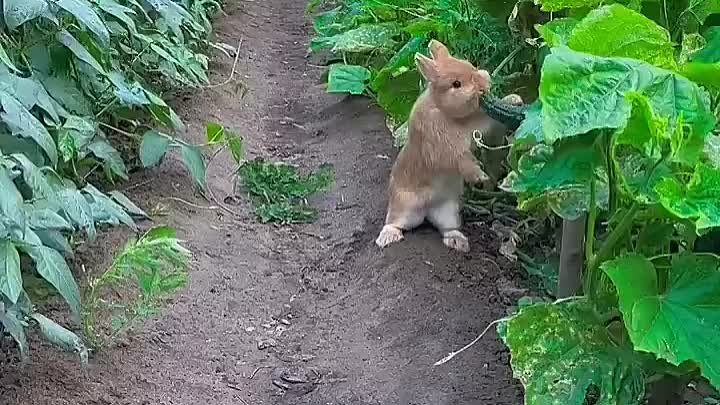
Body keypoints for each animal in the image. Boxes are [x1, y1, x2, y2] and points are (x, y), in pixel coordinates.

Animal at [374, 39, 520, 251]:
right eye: (456, 84)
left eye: (471, 65)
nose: (484, 85)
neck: (444, 110)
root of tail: (427, 210)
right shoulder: (443, 146)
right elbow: (461, 160)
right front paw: (480, 177)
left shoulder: (481, 122)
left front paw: (515, 100)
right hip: (403, 206)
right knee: (395, 222)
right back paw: (387, 238)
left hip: (449, 211)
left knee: (447, 228)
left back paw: (459, 242)